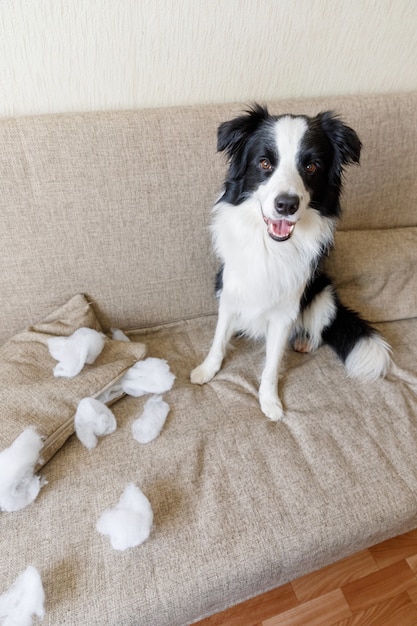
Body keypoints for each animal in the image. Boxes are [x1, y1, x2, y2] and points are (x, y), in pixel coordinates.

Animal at [190, 106, 392, 420]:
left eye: (311, 166)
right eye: (264, 162)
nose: (286, 204)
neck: (271, 246)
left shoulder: (286, 310)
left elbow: (272, 363)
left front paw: (270, 401)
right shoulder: (230, 290)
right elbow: (219, 339)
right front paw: (206, 370)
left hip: (324, 292)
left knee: (319, 328)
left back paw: (304, 342)